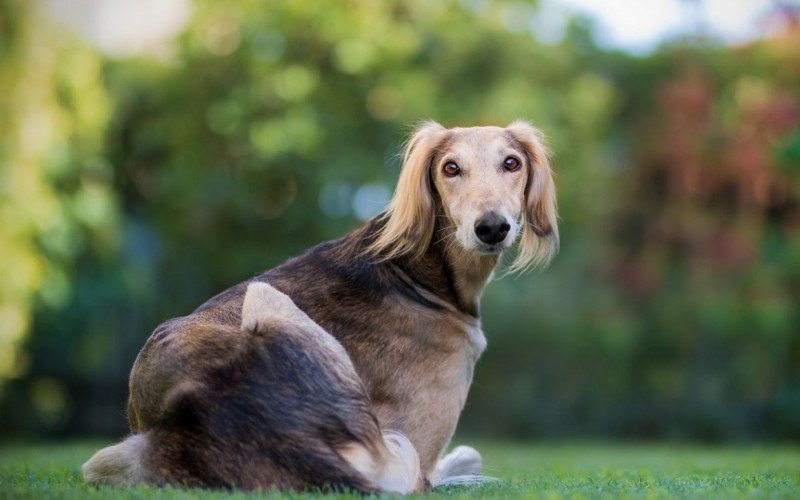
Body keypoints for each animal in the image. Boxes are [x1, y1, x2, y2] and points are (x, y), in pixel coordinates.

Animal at [81, 120, 556, 492]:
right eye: (450, 168)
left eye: (511, 163)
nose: (491, 227)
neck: (417, 269)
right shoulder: (417, 446)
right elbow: (451, 463)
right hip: (266, 295)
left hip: (110, 458)